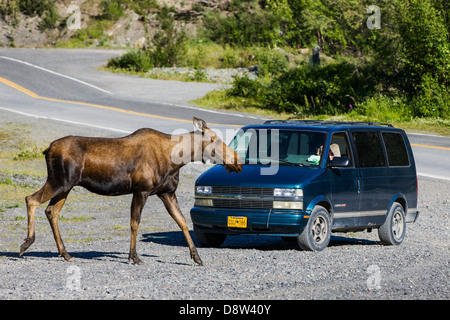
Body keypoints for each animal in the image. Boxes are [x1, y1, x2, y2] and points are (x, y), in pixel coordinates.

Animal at [20, 117, 243, 264]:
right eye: (214, 139)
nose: (237, 160)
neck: (176, 160)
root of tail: (47, 149)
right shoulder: (141, 190)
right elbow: (135, 223)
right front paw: (134, 256)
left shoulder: (167, 193)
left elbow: (182, 222)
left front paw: (196, 257)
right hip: (60, 181)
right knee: (31, 199)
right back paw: (27, 244)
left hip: (66, 186)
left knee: (51, 211)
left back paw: (65, 253)